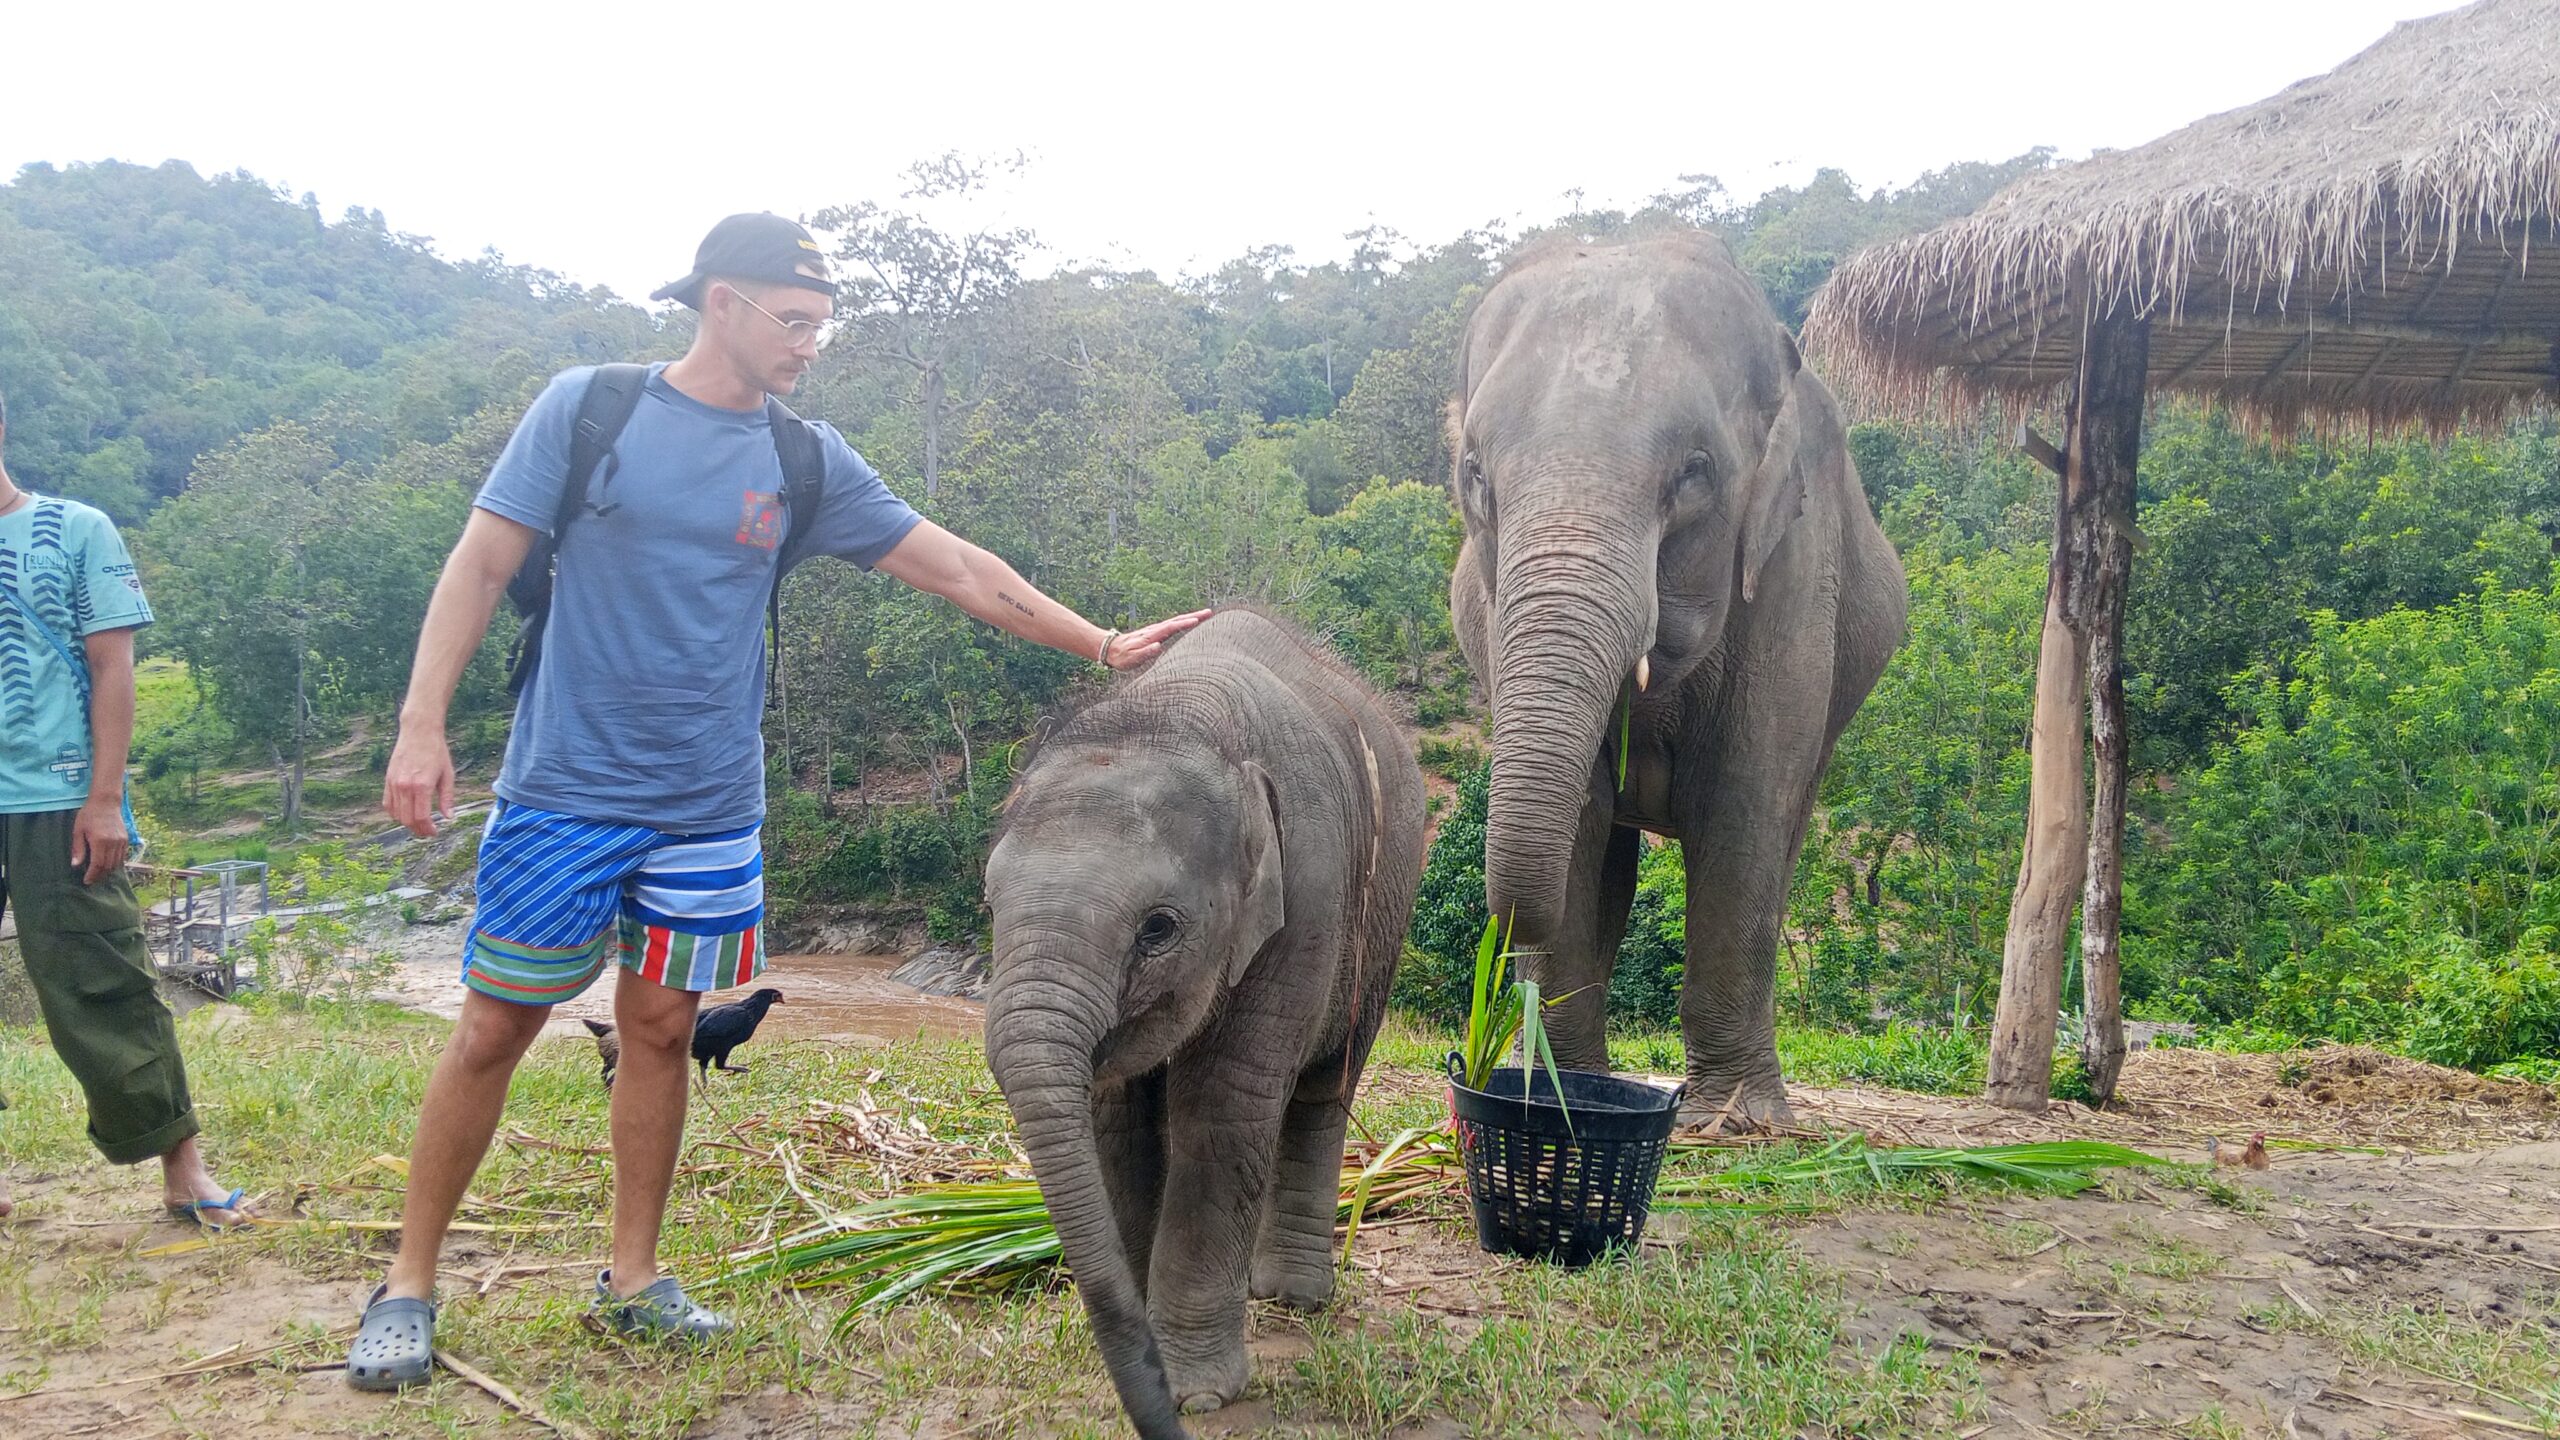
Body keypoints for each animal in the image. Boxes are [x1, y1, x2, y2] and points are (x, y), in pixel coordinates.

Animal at [982, 608, 1425, 1438]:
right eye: (989, 905)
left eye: (1158, 928)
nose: (1160, 1416)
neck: (1181, 713)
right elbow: (1116, 1122)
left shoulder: (1307, 897)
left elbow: (1221, 1111)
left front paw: (1199, 1394)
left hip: (1385, 915)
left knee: (1323, 1088)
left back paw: (1294, 1298)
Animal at [1447, 230, 1906, 1128]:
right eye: (1476, 474)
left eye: (1694, 473)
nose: (1505, 941)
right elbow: (1586, 828)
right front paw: (1560, 1089)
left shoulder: (1796, 575)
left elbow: (1743, 805)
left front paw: (1736, 1121)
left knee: (1780, 841)